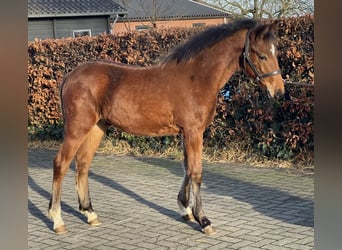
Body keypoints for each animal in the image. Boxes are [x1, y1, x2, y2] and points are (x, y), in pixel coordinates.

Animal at [47, 18, 284, 235]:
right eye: (262, 55)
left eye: (275, 52)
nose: (279, 91)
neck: (196, 78)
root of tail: (70, 76)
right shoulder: (194, 132)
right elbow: (196, 172)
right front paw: (203, 220)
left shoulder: (186, 133)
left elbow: (187, 168)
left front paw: (185, 209)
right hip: (77, 128)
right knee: (61, 163)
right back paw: (57, 220)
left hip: (97, 127)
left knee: (83, 163)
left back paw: (90, 213)